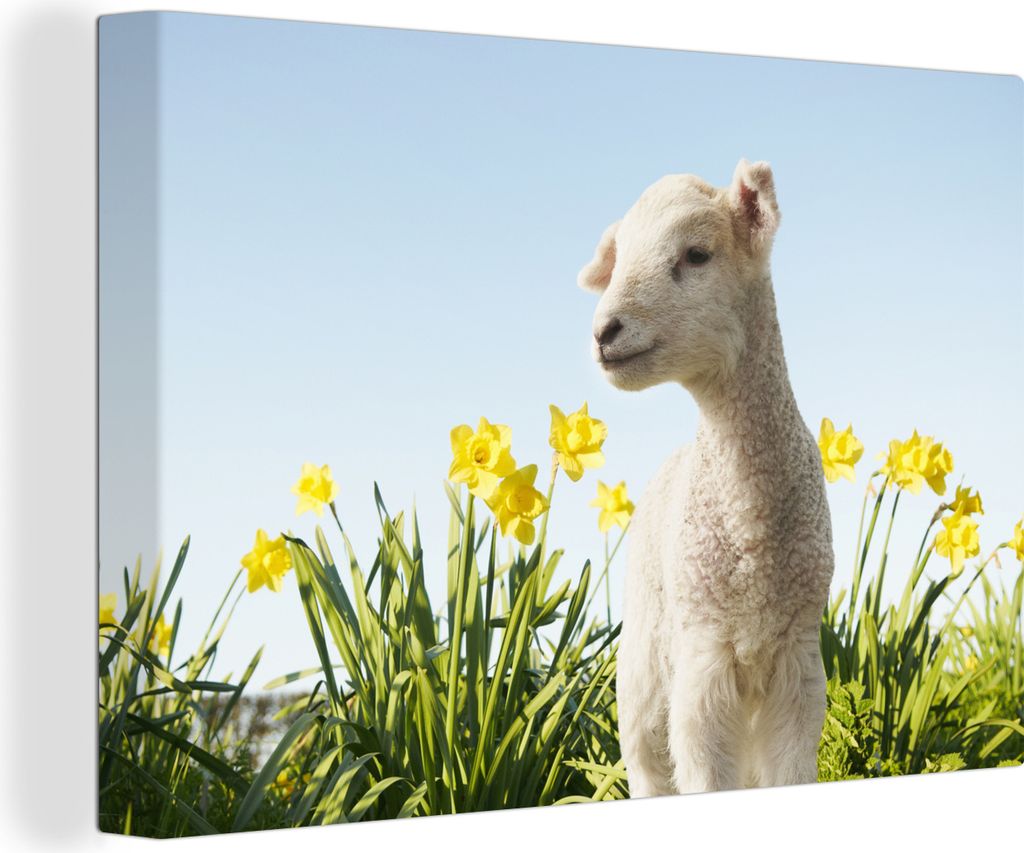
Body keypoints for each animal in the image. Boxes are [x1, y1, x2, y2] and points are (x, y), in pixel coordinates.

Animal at [578, 160, 834, 796]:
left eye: (697, 254)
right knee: (646, 767)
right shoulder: (703, 656)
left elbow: (792, 771)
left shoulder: (798, 658)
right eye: (619, 260)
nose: (603, 331)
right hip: (643, 671)